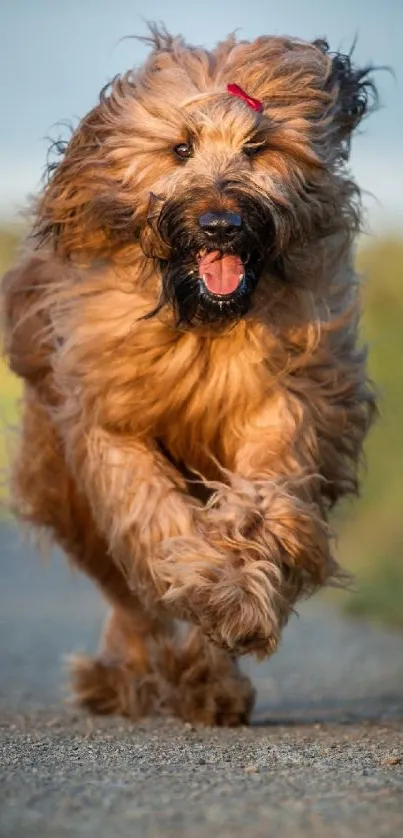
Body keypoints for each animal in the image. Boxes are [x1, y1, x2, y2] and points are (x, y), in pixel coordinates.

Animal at [1, 29, 378, 724]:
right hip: (63, 486)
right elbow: (152, 514)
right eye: (180, 148)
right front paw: (207, 584)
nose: (221, 225)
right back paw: (131, 675)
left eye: (258, 147)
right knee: (126, 591)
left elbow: (261, 503)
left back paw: (208, 680)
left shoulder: (284, 399)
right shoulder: (109, 418)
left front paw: (236, 600)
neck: (201, 322)